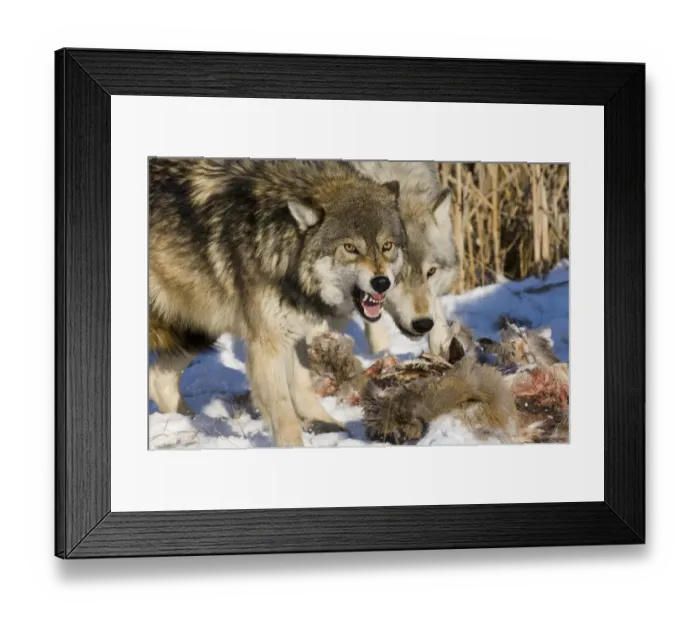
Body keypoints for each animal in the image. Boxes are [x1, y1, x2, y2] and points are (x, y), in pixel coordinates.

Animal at [148, 157, 406, 447]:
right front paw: (294, 444)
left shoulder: (294, 333)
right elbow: (283, 409)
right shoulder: (266, 343)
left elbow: (302, 388)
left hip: (200, 328)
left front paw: (325, 423)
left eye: (387, 246)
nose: (382, 282)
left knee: (158, 379)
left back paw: (203, 424)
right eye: (350, 248)